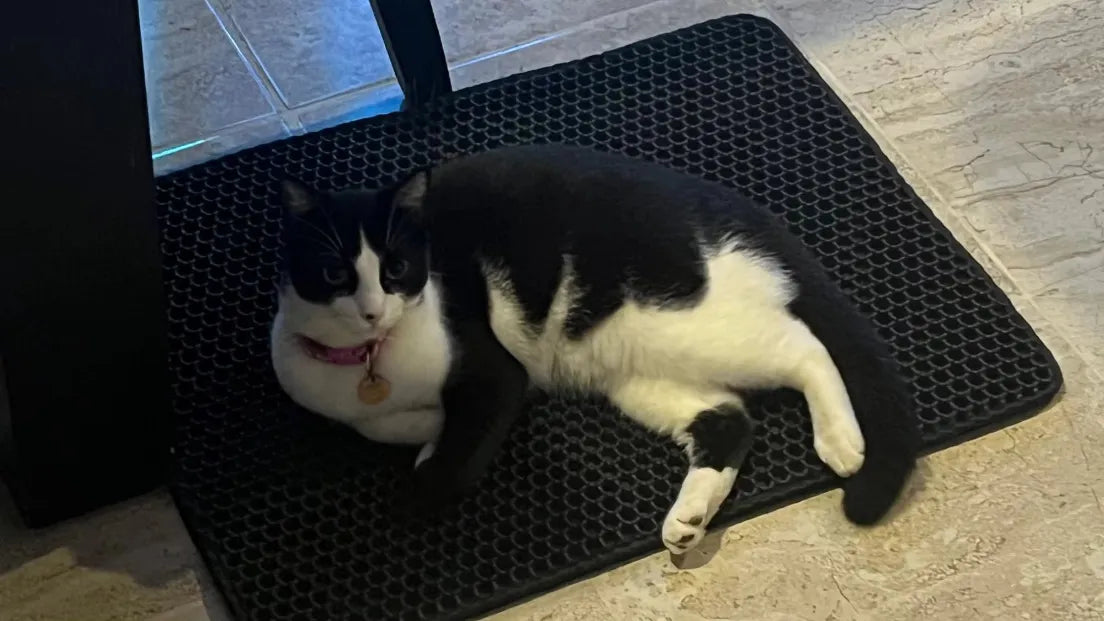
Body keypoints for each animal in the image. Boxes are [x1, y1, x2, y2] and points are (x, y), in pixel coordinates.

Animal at [271, 144, 919, 553]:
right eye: (335, 273)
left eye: (397, 269)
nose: (372, 310)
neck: (370, 360)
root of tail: (735, 210)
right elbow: (383, 426)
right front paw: (425, 436)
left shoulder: (495, 375)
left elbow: (453, 463)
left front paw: (416, 489)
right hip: (630, 369)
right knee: (729, 419)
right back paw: (689, 520)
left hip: (678, 323)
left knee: (803, 346)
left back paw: (840, 441)